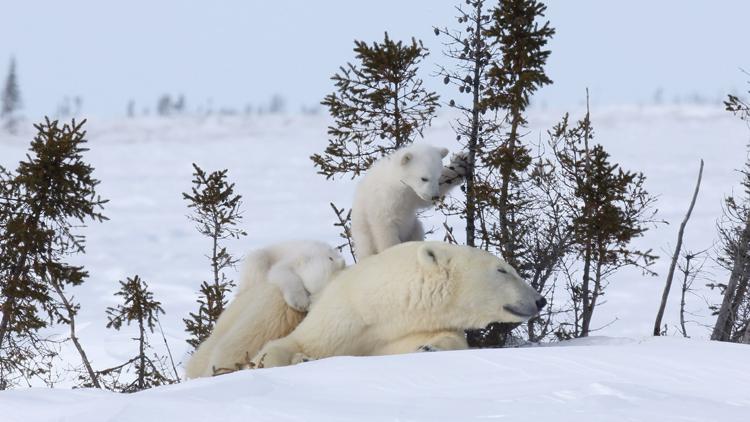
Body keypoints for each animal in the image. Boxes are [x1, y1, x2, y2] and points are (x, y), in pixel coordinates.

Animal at [185, 241, 346, 380]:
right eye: (311, 294)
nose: (310, 307)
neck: (318, 253)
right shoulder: (290, 259)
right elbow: (281, 273)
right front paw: (300, 302)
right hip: (258, 261)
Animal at [251, 241, 548, 370]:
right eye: (502, 270)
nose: (540, 299)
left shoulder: (409, 329)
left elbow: (442, 340)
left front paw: (429, 348)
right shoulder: (343, 318)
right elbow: (293, 343)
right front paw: (293, 359)